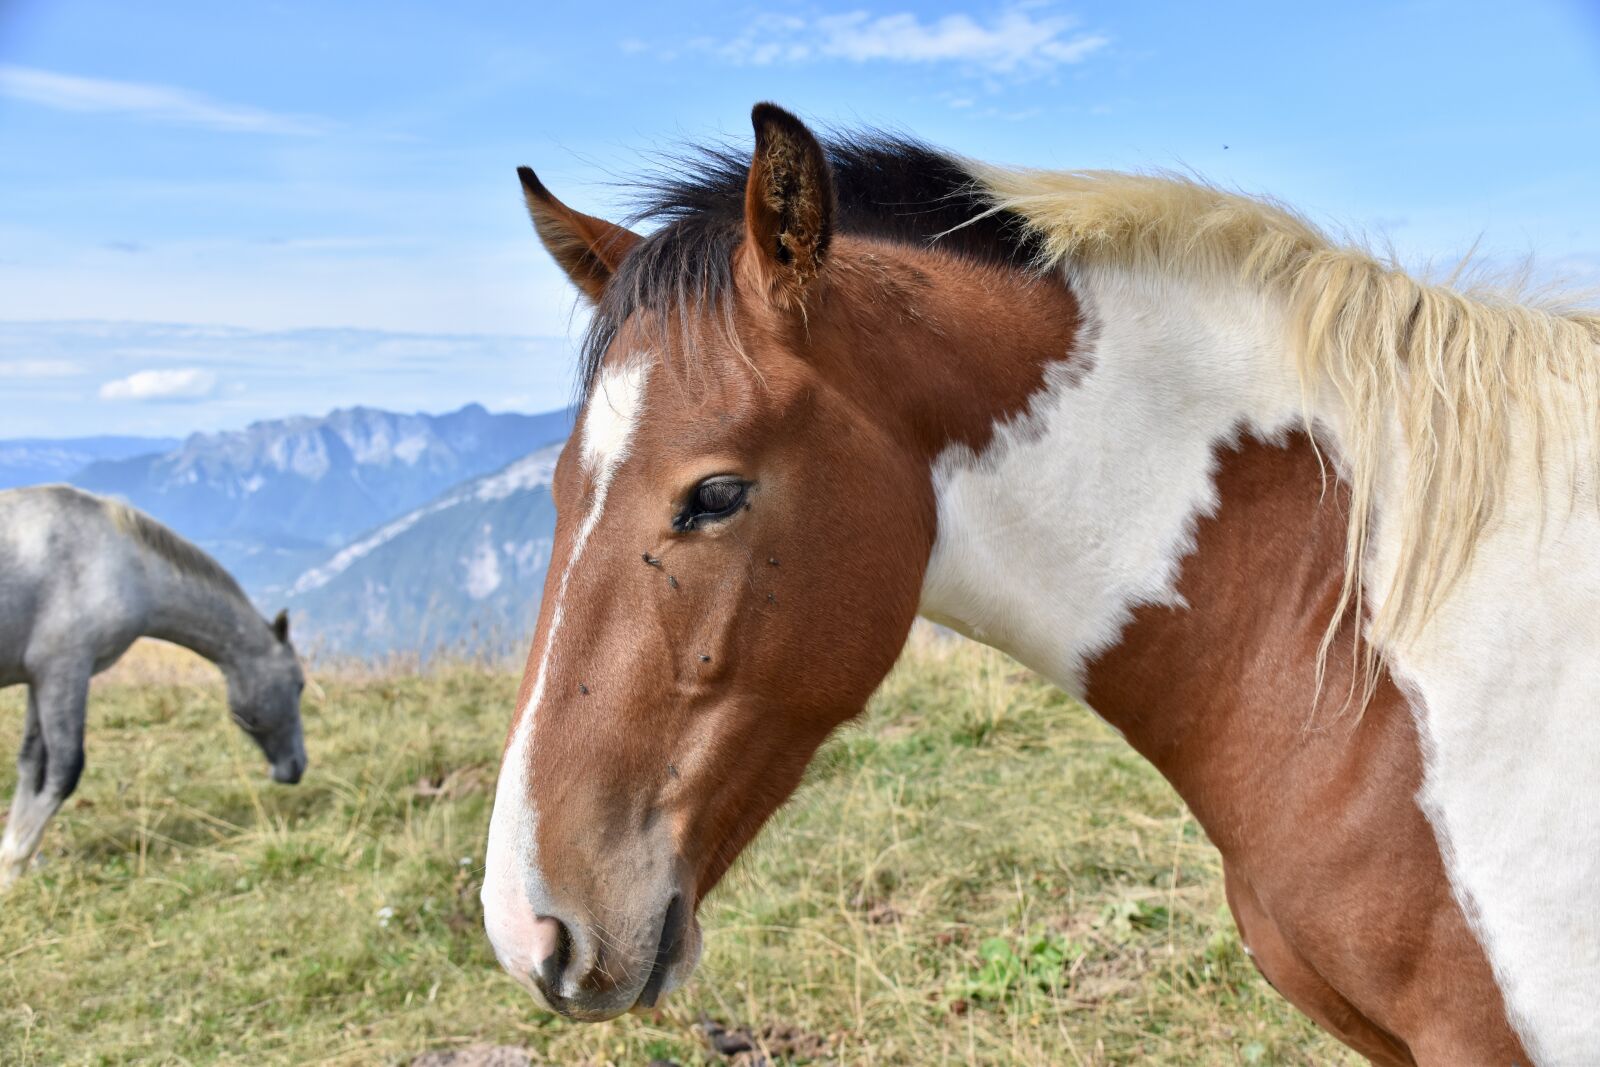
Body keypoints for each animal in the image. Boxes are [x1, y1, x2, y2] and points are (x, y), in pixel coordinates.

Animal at [0, 485, 307, 886]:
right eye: (299, 684)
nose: (296, 766)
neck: (123, 562)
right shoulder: (64, 670)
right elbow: (64, 768)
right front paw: (13, 864)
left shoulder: (40, 678)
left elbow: (32, 764)